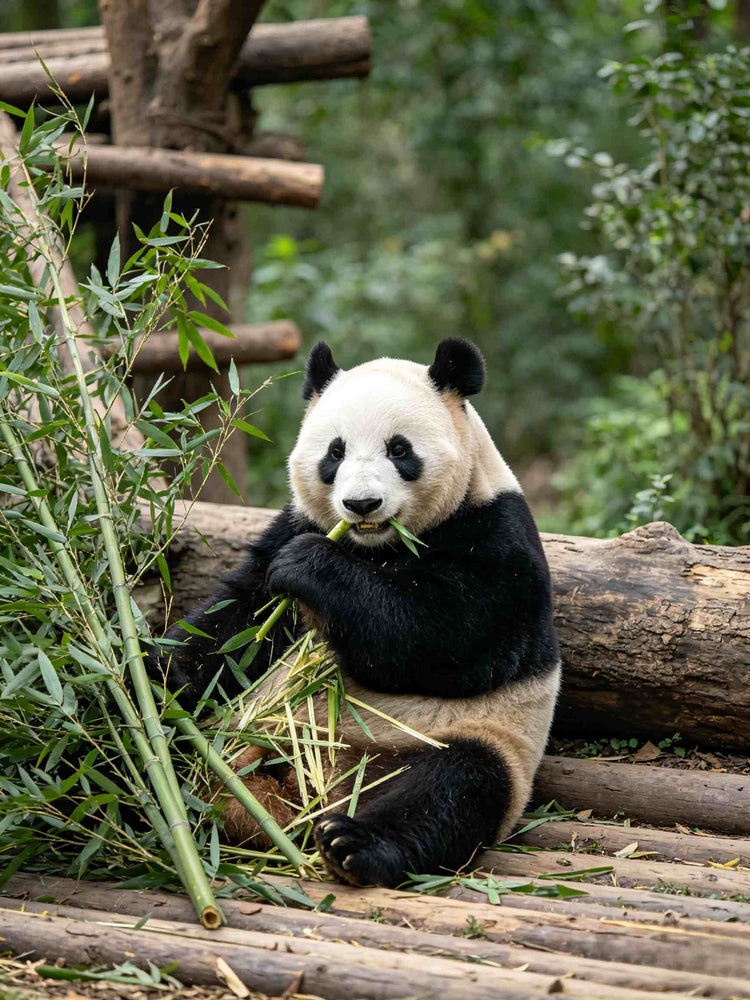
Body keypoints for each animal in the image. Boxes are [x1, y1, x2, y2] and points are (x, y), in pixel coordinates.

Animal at [154, 337, 560, 888]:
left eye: (399, 449)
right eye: (335, 451)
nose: (361, 504)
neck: (375, 548)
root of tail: (309, 790)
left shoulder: (497, 537)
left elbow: (445, 637)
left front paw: (311, 565)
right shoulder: (294, 522)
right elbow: (242, 621)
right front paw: (163, 671)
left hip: (468, 741)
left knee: (451, 789)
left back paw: (354, 844)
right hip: (239, 733)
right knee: (171, 746)